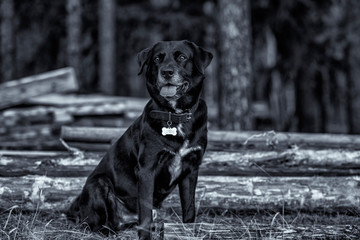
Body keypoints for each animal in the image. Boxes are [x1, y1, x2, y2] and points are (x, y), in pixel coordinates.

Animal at [67, 40, 211, 239]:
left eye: (182, 57)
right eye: (157, 59)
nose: (166, 72)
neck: (175, 115)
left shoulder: (191, 169)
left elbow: (189, 208)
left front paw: (188, 232)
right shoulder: (147, 169)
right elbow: (145, 213)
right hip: (99, 183)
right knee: (100, 224)